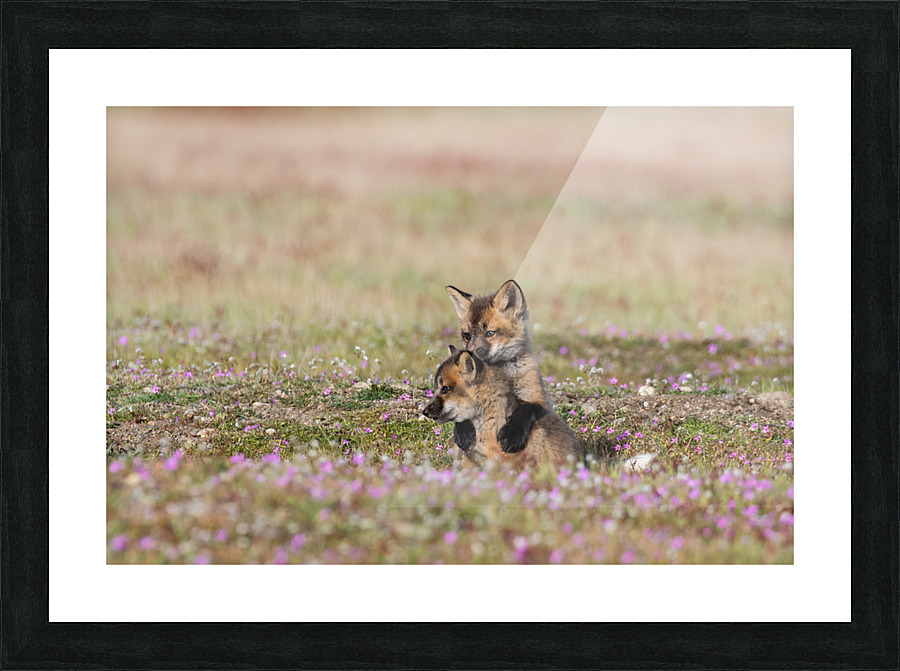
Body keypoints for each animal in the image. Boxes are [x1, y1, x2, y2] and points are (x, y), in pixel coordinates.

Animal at [445, 279, 552, 454]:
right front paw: (463, 431)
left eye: (490, 333)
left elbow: (525, 411)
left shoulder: (540, 400)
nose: (469, 355)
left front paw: (512, 435)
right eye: (467, 335)